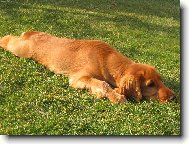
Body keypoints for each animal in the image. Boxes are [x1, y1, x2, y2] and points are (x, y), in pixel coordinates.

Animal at [0, 31, 176, 103]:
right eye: (150, 85)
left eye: (160, 80)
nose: (174, 97)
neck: (106, 58)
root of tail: (30, 33)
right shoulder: (78, 78)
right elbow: (102, 84)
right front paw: (116, 96)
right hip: (20, 49)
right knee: (7, 39)